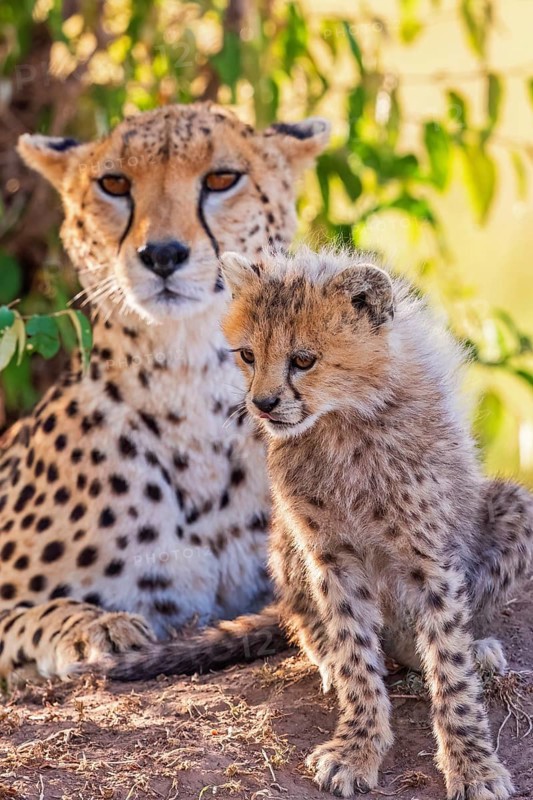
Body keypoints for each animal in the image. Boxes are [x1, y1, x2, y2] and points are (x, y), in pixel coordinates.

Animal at [0, 103, 331, 682]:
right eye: (114, 183)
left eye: (222, 178)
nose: (162, 254)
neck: (188, 382)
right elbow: (36, 614)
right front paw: (97, 625)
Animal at [214, 246, 532, 800]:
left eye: (303, 359)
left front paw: (471, 763)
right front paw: (358, 746)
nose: (263, 404)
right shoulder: (330, 555)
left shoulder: (431, 558)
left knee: (427, 642)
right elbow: (354, 650)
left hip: (513, 506)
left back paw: (478, 647)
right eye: (248, 355)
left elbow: (450, 664)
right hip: (286, 540)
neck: (343, 421)